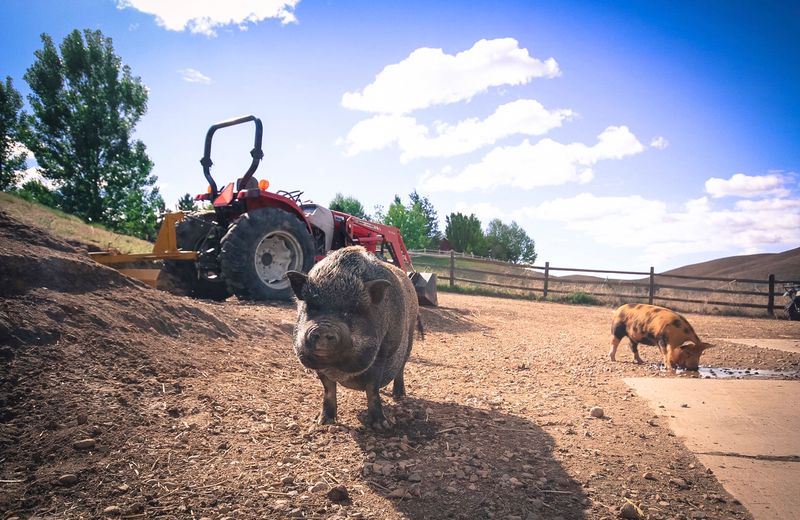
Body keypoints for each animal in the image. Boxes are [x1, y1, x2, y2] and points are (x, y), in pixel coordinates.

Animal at [286, 246, 419, 430]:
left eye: (353, 310)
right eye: (311, 307)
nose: (323, 327)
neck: (338, 369)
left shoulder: (381, 353)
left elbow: (372, 389)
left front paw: (382, 426)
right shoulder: (319, 368)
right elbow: (328, 389)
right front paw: (323, 422)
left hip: (410, 338)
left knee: (401, 370)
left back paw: (399, 396)